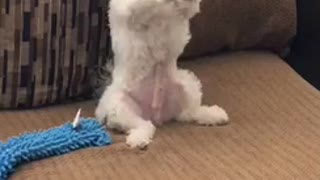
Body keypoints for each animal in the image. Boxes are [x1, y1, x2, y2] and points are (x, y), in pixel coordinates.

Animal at [94, 0, 228, 148]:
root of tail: (156, 115)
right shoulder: (129, 10)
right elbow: (145, 4)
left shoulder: (186, 11)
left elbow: (187, 7)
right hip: (119, 106)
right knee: (145, 125)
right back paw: (138, 139)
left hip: (188, 85)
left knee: (190, 112)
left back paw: (214, 115)